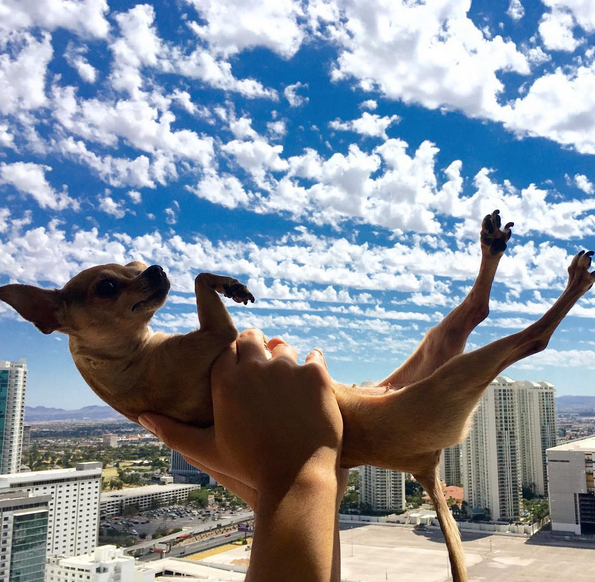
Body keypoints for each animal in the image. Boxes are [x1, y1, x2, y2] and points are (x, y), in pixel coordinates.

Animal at [1, 210, 593, 582]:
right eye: (107, 286)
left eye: (131, 265)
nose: (156, 267)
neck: (132, 355)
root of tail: (423, 467)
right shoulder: (217, 338)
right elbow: (202, 288)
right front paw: (221, 282)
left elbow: (200, 281)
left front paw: (227, 281)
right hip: (440, 386)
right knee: (526, 338)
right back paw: (571, 282)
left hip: (415, 370)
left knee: (472, 313)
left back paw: (494, 245)